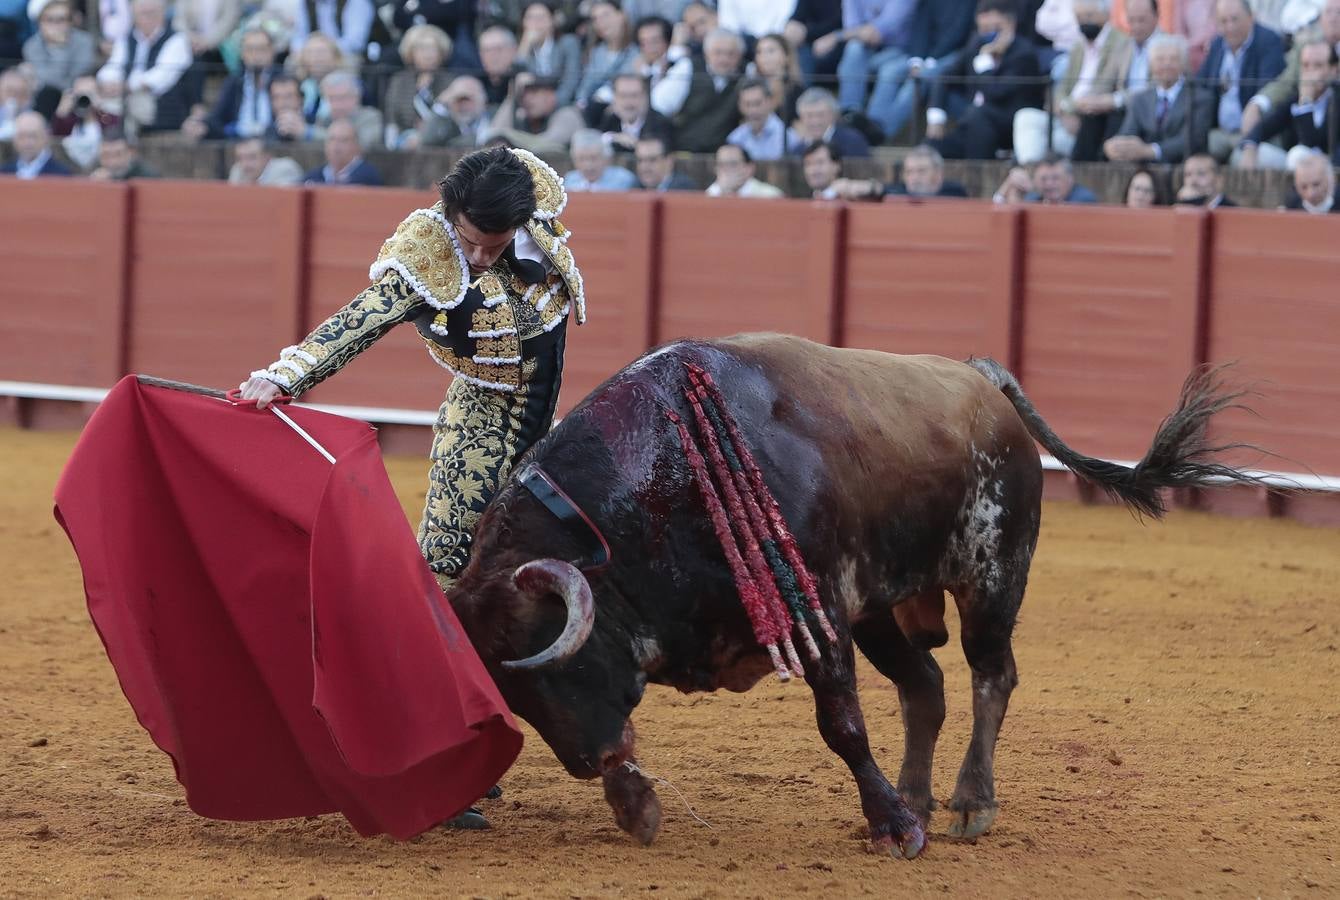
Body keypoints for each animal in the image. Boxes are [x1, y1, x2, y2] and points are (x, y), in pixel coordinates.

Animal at [444, 332, 1248, 857]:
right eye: (513, 694)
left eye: (556, 663)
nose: (586, 761)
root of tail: (981, 379)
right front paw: (635, 806)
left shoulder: (821, 613)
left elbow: (843, 726)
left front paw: (896, 831)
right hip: (883, 611)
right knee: (925, 685)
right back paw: (916, 796)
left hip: (992, 577)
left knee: (993, 675)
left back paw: (969, 804)